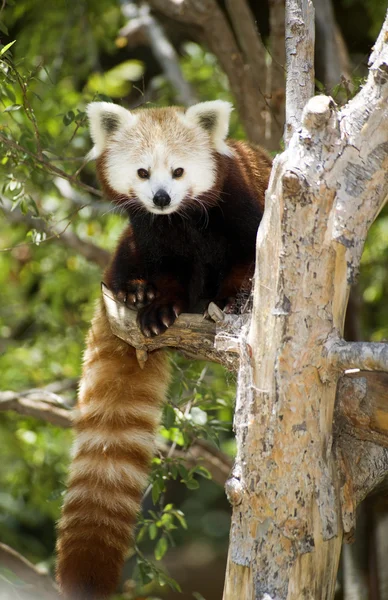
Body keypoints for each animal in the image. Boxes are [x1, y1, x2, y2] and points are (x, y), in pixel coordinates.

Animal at [56, 101, 272, 596]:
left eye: (177, 171)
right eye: (142, 171)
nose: (159, 198)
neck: (182, 220)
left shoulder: (242, 210)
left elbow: (246, 263)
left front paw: (234, 300)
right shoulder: (152, 235)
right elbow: (167, 272)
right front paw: (156, 306)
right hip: (124, 254)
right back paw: (134, 291)